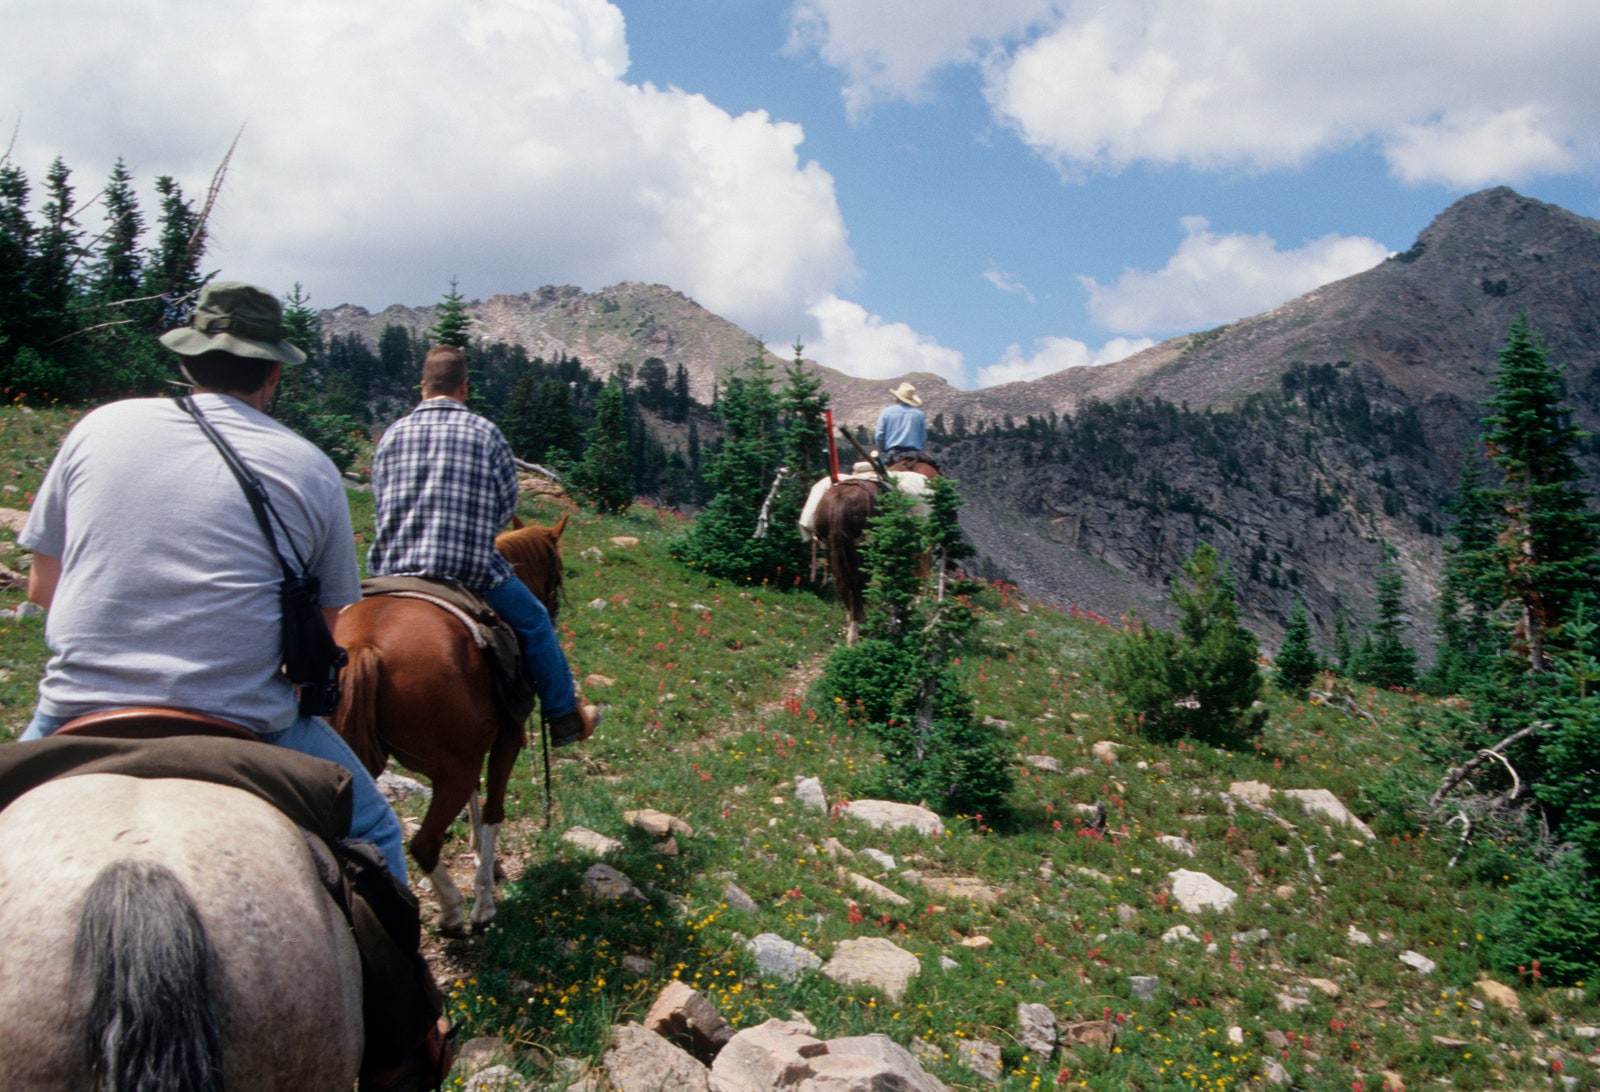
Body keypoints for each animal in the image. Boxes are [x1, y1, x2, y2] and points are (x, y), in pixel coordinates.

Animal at [331, 509, 569, 928]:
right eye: (558, 572)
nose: (552, 610)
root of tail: (365, 643)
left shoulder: (471, 749)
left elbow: (477, 795)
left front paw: (479, 853)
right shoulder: (507, 738)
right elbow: (493, 809)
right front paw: (485, 894)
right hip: (452, 771)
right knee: (423, 843)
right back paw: (455, 912)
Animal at [812, 454, 934, 643]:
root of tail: (840, 501)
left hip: (832, 549)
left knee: (844, 584)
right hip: (862, 551)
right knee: (857, 585)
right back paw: (857, 630)